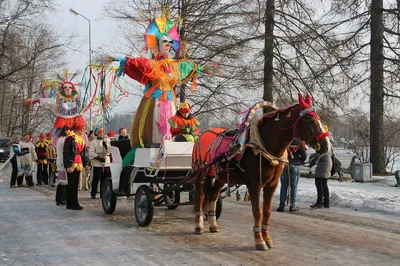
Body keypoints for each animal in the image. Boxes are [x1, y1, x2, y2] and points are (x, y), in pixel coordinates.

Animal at [191, 94, 332, 251]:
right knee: (200, 195)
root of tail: (202, 135)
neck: (265, 147)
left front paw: (267, 238)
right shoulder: (255, 185)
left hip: (220, 176)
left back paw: (213, 224)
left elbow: (267, 211)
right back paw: (199, 225)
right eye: (311, 121)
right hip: (201, 172)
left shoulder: (272, 184)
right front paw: (259, 240)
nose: (326, 146)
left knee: (213, 196)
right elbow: (257, 212)